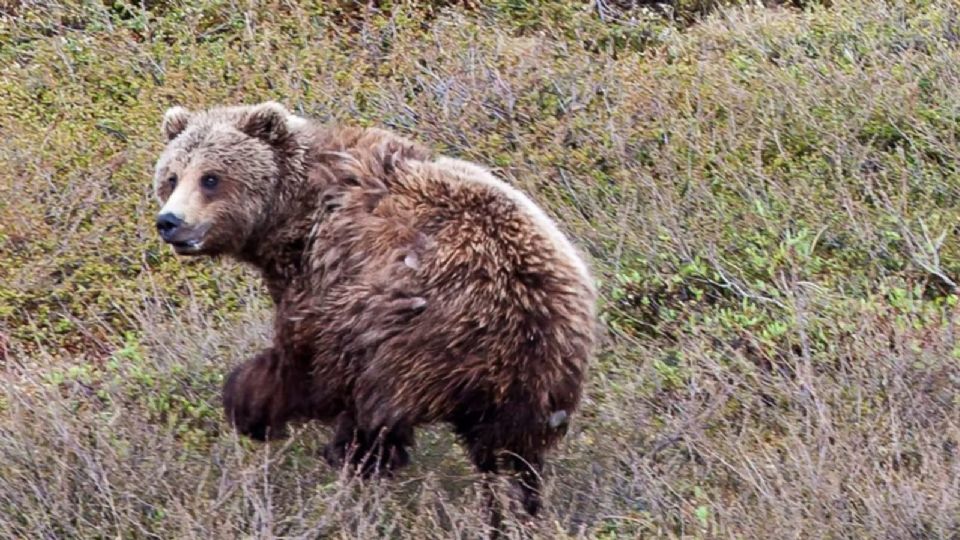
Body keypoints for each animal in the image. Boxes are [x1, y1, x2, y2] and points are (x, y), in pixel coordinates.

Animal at [150, 101, 596, 524]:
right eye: (171, 177)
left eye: (211, 178)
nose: (170, 221)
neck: (292, 214)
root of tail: (528, 318)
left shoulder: (327, 269)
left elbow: (303, 359)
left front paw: (248, 401)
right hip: (540, 383)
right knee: (512, 458)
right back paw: (514, 509)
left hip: (413, 332)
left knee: (371, 408)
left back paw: (350, 461)